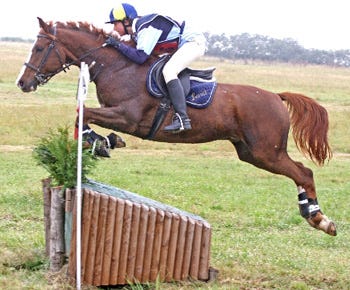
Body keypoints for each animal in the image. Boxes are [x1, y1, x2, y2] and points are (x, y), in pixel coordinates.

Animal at [17, 17, 336, 236]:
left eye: (40, 47)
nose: (23, 83)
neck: (118, 67)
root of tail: (275, 96)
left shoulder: (127, 117)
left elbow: (82, 113)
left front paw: (100, 142)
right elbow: (82, 115)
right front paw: (104, 142)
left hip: (266, 152)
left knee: (303, 172)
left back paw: (320, 219)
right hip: (251, 153)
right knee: (299, 172)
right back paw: (313, 214)